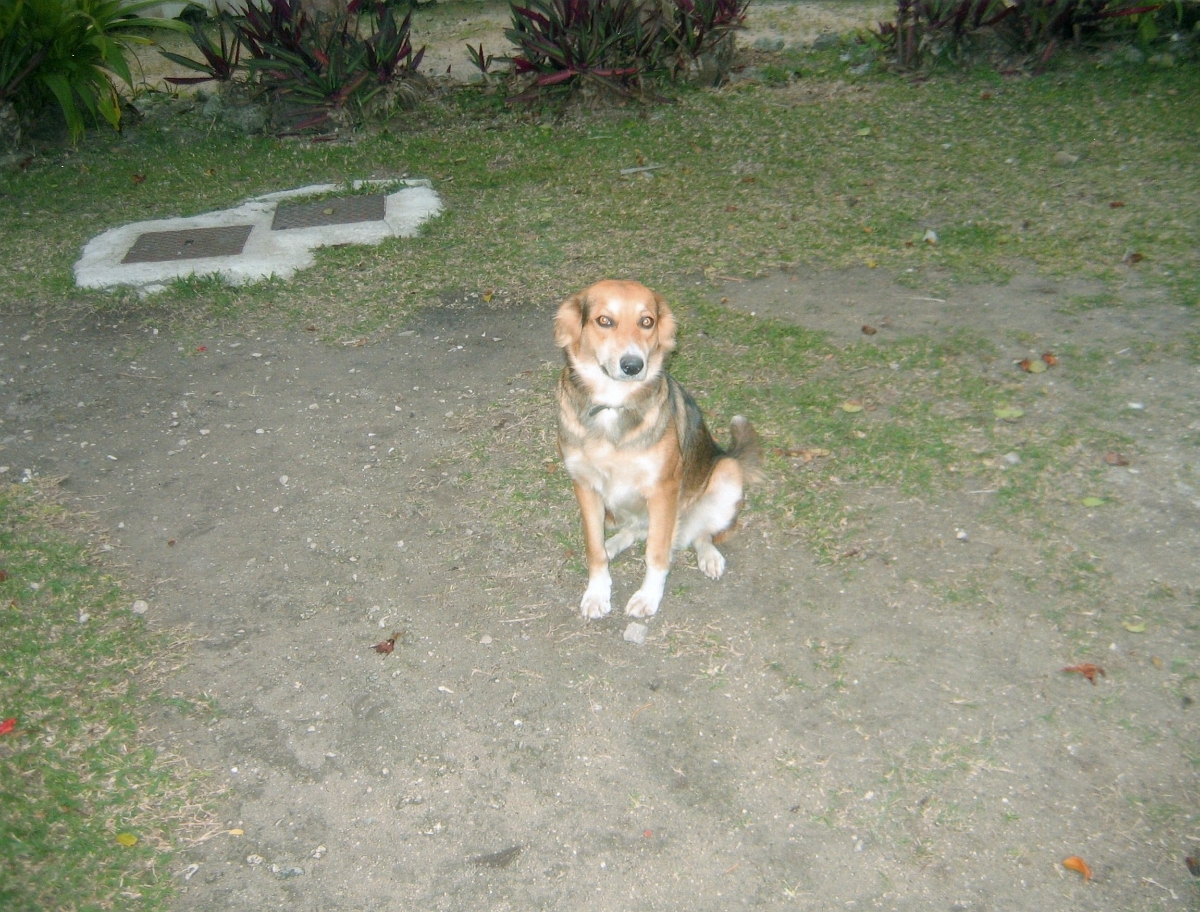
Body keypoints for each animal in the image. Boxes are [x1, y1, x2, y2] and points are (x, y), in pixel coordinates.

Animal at [554, 280, 762, 620]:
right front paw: (598, 592)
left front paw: (648, 596)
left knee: (699, 534)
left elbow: (656, 553)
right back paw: (614, 545)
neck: (614, 405)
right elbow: (594, 548)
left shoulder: (664, 488)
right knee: (634, 530)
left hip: (725, 473)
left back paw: (709, 556)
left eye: (647, 321)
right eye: (604, 320)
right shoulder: (584, 485)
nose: (633, 365)